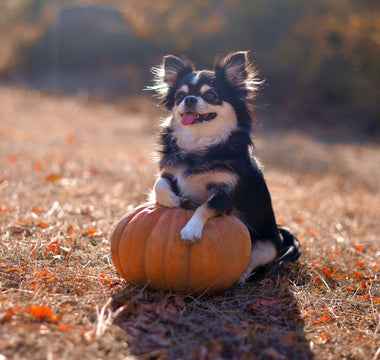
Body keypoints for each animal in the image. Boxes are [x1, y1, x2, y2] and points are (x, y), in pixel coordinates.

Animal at [148, 51, 300, 282]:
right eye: (179, 97)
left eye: (211, 95)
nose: (189, 99)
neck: (200, 143)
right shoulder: (170, 174)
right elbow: (159, 184)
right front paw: (172, 201)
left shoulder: (227, 193)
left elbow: (205, 206)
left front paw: (191, 230)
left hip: (268, 246)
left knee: (252, 264)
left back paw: (239, 279)